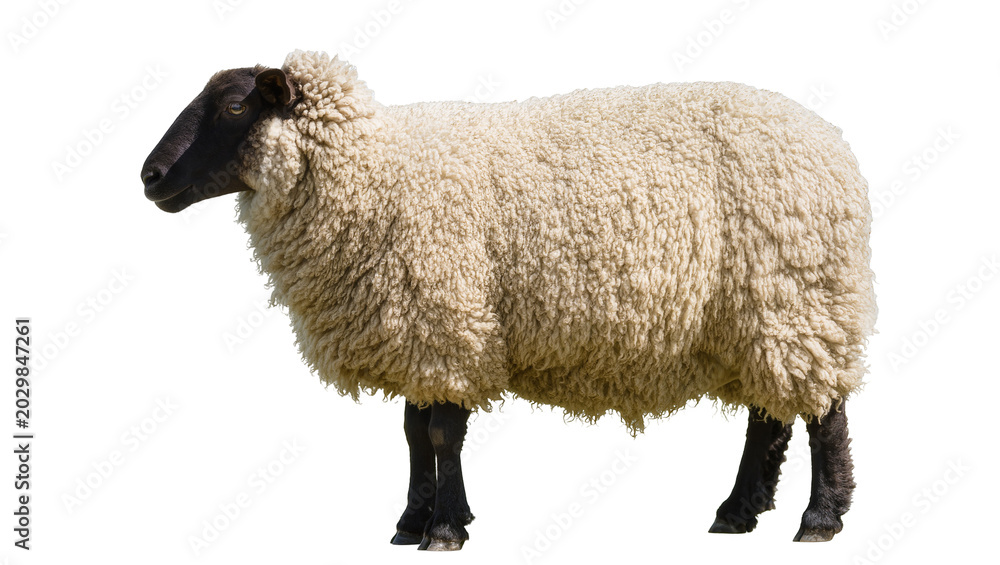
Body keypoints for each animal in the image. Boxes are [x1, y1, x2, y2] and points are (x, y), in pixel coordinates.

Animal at [141, 50, 876, 550]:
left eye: (236, 106)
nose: (150, 176)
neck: (369, 171)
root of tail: (834, 143)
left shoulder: (444, 317)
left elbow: (441, 432)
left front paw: (444, 529)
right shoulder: (420, 328)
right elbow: (414, 432)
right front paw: (412, 521)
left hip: (802, 298)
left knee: (824, 413)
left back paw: (820, 518)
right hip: (759, 312)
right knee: (769, 416)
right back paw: (736, 512)